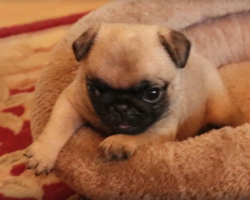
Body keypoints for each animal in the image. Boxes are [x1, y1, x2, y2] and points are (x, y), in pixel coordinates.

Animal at [23, 23, 244, 175]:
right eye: (95, 89)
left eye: (153, 94)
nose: (121, 106)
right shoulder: (71, 102)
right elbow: (56, 127)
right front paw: (43, 153)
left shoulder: (162, 128)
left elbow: (140, 135)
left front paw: (119, 142)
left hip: (220, 109)